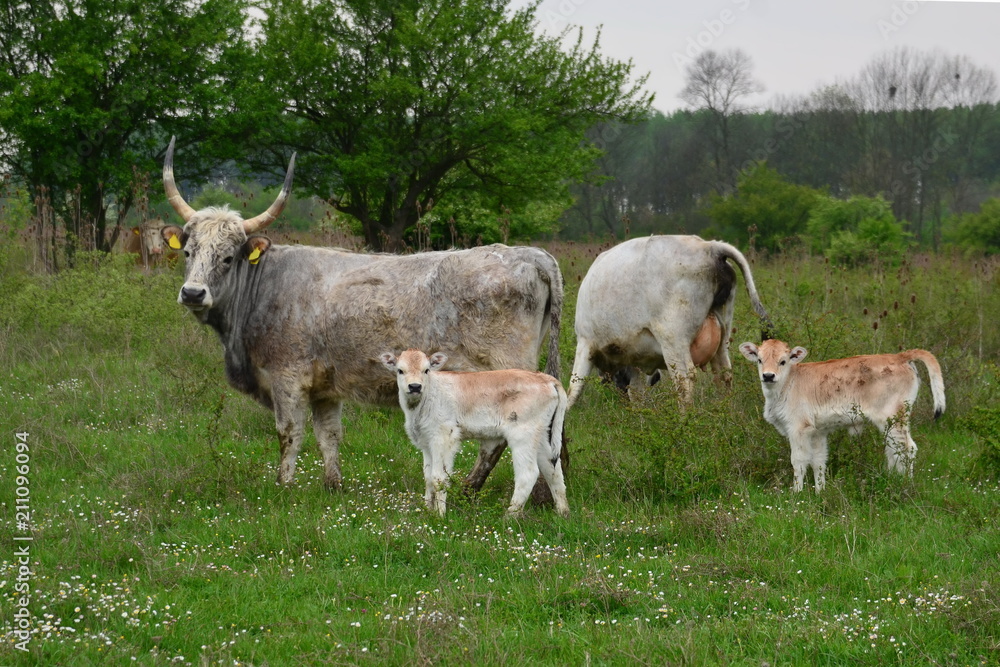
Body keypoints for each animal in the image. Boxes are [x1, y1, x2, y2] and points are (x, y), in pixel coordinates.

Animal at [159, 137, 564, 493]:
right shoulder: (324, 387)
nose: (193, 292)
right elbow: (328, 435)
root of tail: (530, 253)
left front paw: (283, 489)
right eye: (188, 252)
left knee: (500, 442)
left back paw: (469, 489)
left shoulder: (287, 379)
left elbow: (289, 434)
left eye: (228, 257)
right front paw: (332, 486)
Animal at [380, 349, 570, 517]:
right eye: (400, 370)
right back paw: (563, 513)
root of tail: (546, 378)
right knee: (552, 470)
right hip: (543, 435)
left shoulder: (444, 437)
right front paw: (427, 510)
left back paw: (509, 517)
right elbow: (427, 477)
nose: (415, 386)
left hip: (523, 435)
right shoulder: (426, 442)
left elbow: (439, 478)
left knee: (528, 474)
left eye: (426, 370)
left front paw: (440, 515)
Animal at [568, 235, 771, 407]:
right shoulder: (633, 360)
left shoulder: (585, 342)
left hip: (673, 339)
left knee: (684, 380)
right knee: (724, 375)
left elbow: (572, 390)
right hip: (722, 336)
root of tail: (709, 247)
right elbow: (637, 393)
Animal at [738, 339, 946, 492]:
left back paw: (905, 484)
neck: (788, 383)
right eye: (759, 360)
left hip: (892, 418)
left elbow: (798, 461)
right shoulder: (817, 432)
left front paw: (796, 494)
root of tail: (899, 356)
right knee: (892, 450)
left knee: (907, 449)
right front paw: (820, 492)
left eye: (783, 361)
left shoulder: (798, 428)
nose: (768, 376)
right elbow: (818, 461)